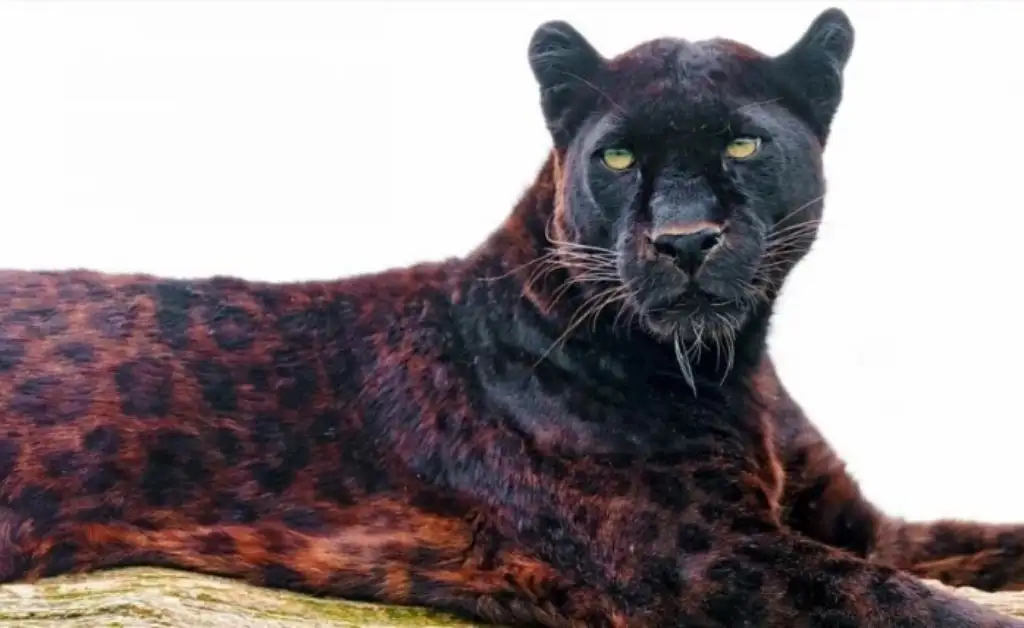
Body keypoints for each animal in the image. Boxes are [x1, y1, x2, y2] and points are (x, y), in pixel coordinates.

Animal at [0, 7, 1022, 627]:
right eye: (617, 157)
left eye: (743, 143)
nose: (685, 239)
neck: (736, 367)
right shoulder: (710, 555)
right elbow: (917, 604)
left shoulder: (856, 523)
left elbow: (973, 545)